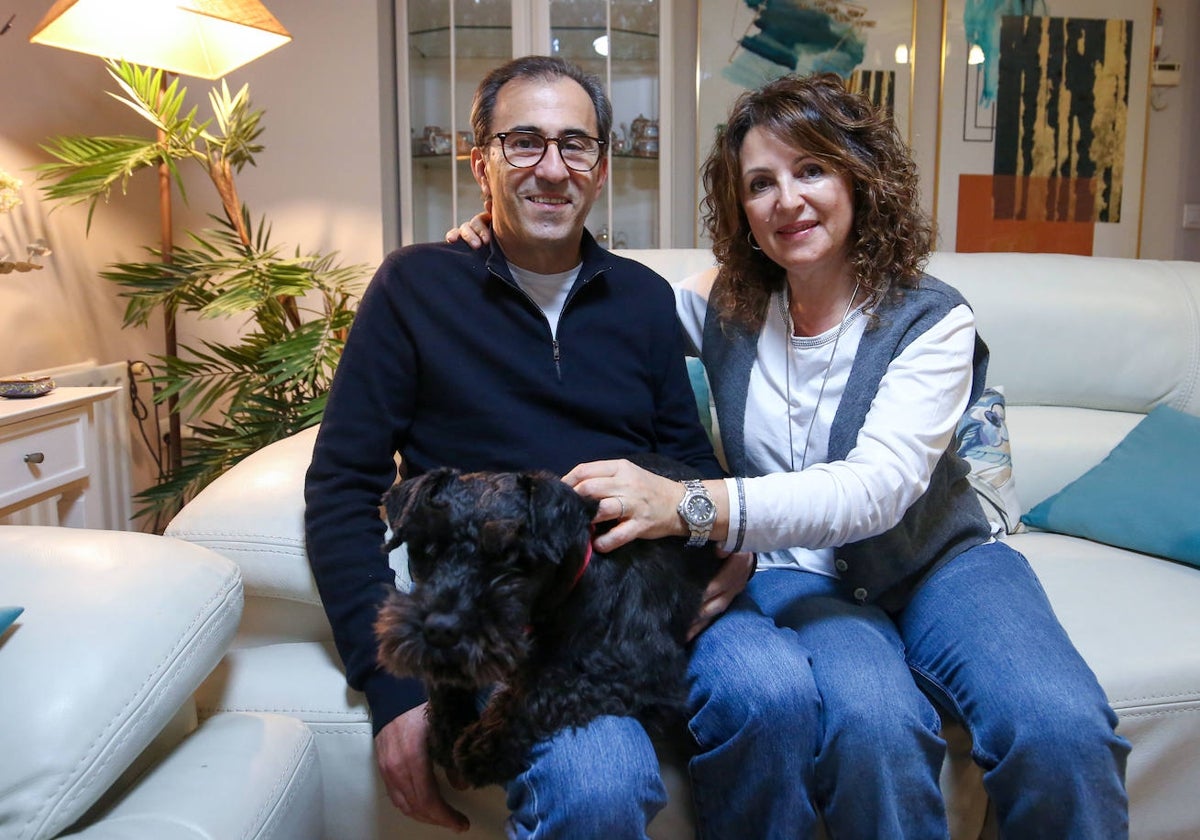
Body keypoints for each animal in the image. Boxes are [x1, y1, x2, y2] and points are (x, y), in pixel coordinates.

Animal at [372, 453, 720, 787]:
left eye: (509, 555)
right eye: (427, 549)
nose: (441, 629)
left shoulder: (642, 670)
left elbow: (543, 689)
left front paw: (482, 747)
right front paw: (448, 727)